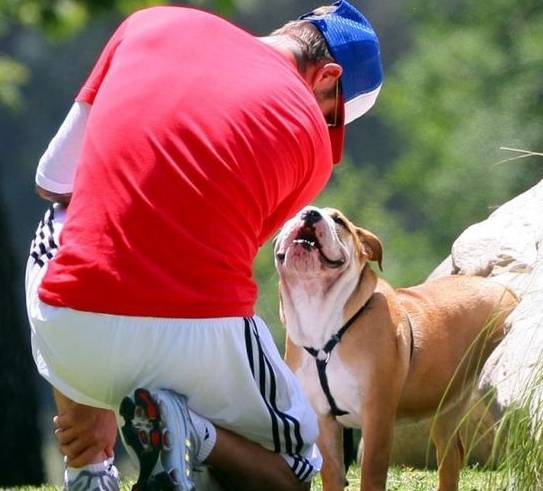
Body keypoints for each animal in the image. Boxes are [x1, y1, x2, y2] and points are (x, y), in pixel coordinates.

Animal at [274, 206, 520, 491]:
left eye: (339, 221)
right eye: (297, 214)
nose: (311, 214)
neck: (320, 315)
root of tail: (508, 291)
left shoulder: (377, 415)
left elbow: (371, 474)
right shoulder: (324, 419)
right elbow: (332, 475)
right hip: (446, 406)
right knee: (450, 455)